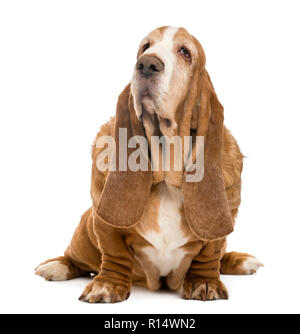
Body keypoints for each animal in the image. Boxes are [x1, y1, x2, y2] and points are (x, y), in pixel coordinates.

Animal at [35, 26, 262, 302]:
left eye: (185, 52)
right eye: (145, 46)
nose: (147, 64)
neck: (165, 176)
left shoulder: (224, 220)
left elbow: (209, 253)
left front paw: (204, 283)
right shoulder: (104, 224)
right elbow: (114, 253)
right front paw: (106, 285)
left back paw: (242, 261)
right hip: (84, 233)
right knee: (76, 257)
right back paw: (56, 266)